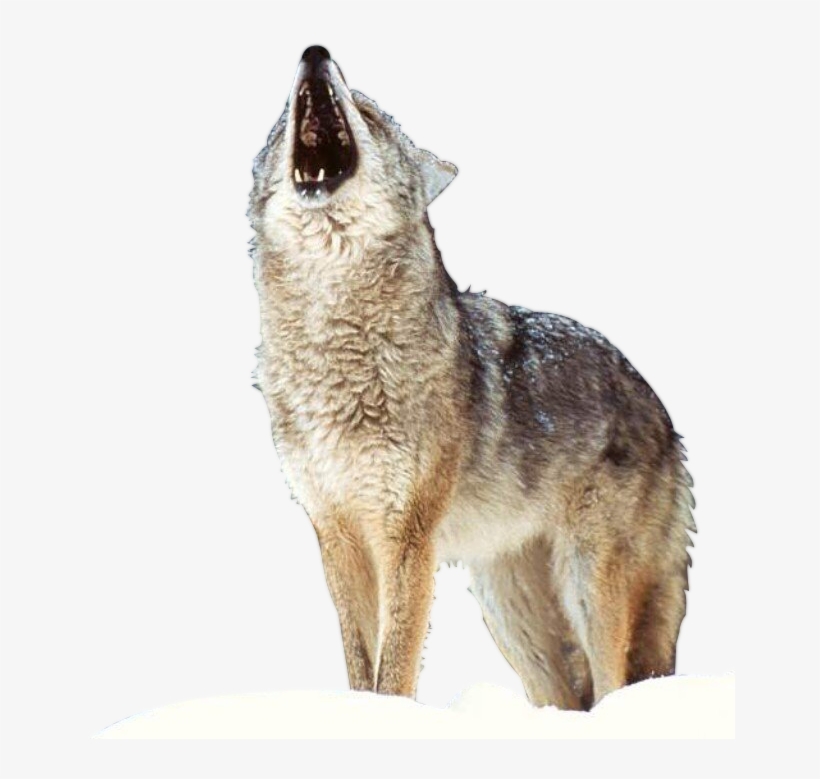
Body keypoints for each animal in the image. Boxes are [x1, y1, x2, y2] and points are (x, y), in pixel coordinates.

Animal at [248, 46, 695, 710]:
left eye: (368, 114)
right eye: (282, 120)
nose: (315, 53)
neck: (335, 350)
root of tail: (665, 415)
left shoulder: (407, 536)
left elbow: (394, 669)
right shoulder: (337, 532)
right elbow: (360, 664)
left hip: (588, 586)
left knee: (613, 681)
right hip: (510, 615)